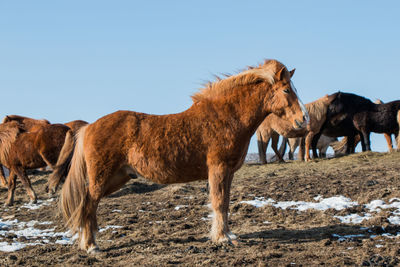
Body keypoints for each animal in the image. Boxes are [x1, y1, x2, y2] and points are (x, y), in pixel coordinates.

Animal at [60, 59, 310, 253]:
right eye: (286, 90)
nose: (303, 119)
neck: (225, 117)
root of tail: (89, 127)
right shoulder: (218, 169)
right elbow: (219, 202)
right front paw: (222, 238)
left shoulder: (228, 172)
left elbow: (225, 202)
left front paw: (227, 235)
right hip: (101, 179)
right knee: (88, 206)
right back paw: (91, 246)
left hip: (117, 178)